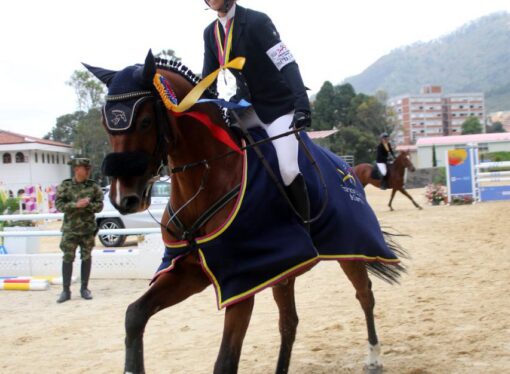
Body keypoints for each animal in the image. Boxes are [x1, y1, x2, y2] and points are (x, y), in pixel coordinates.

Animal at [84, 51, 406, 374]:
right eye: (105, 125)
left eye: (146, 122)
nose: (123, 198)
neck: (207, 178)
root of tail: (346, 167)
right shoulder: (192, 270)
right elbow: (134, 315)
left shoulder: (243, 279)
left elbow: (226, 361)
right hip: (286, 269)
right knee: (289, 323)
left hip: (350, 248)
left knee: (364, 294)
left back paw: (374, 357)